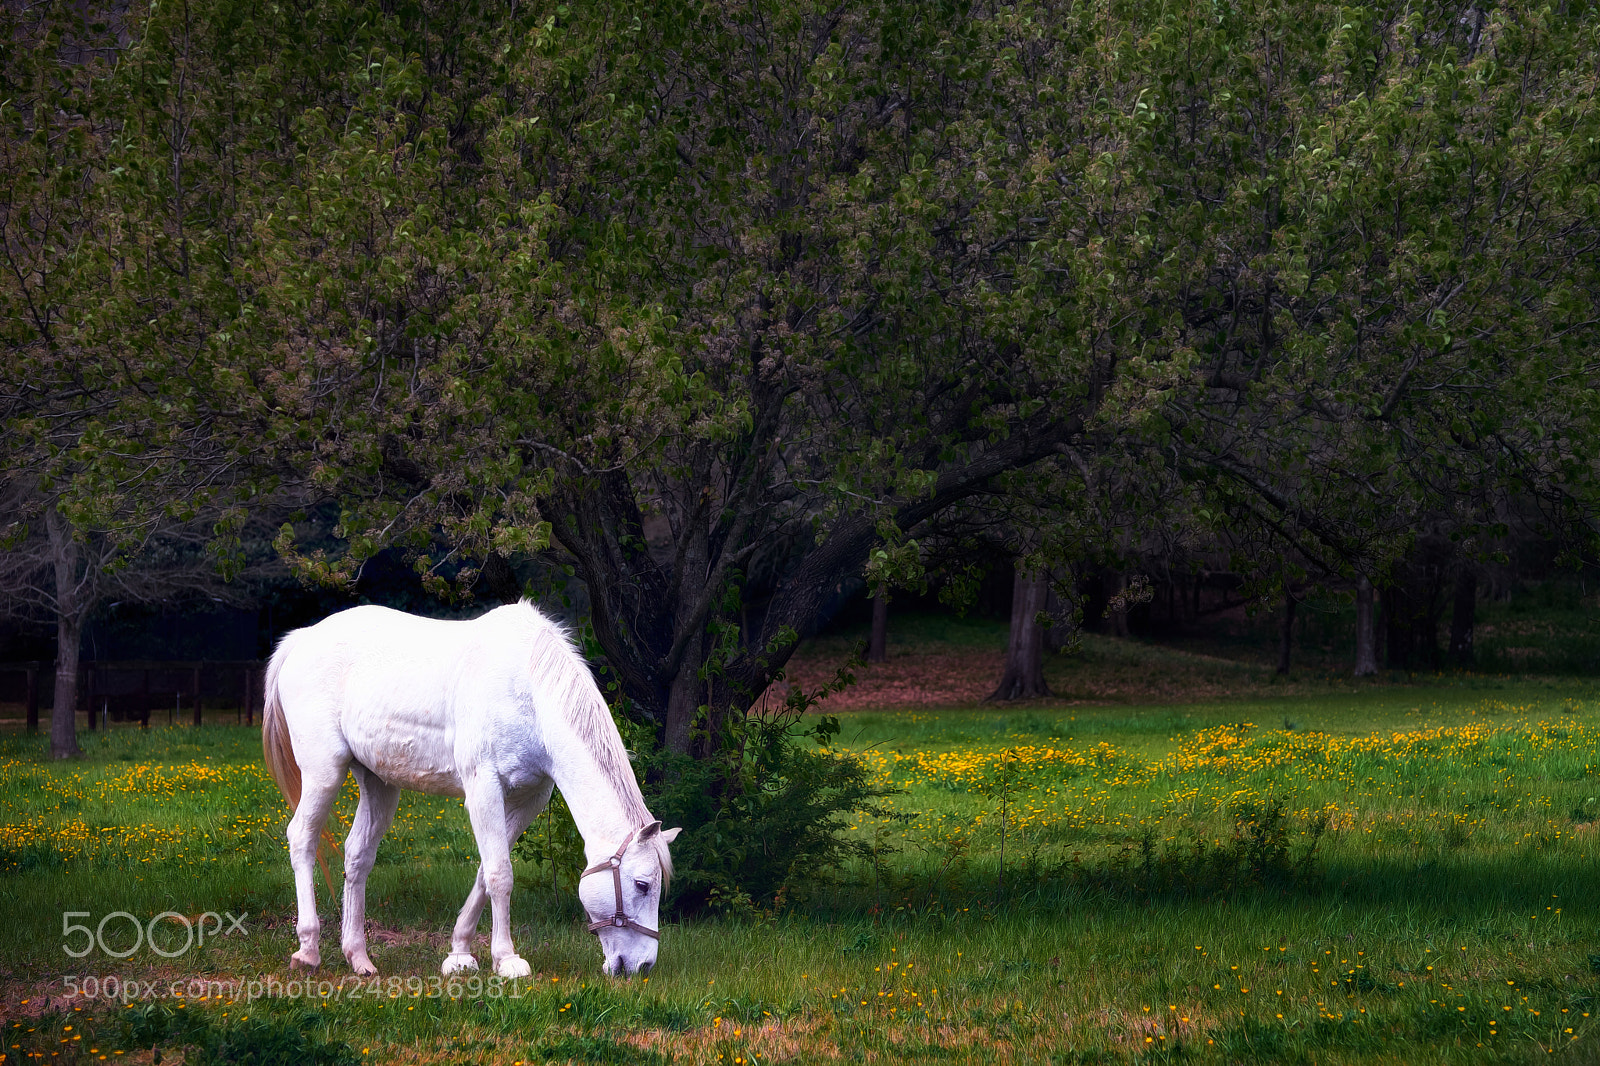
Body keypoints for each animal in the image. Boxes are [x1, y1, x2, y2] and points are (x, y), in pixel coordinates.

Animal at [260, 600, 679, 978]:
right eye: (642, 885)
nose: (643, 966)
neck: (528, 693)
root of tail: (302, 639)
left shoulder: (528, 799)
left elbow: (485, 871)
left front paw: (460, 953)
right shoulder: (484, 790)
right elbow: (500, 874)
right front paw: (507, 960)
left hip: (379, 783)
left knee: (357, 856)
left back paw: (359, 958)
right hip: (324, 772)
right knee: (302, 838)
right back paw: (308, 949)